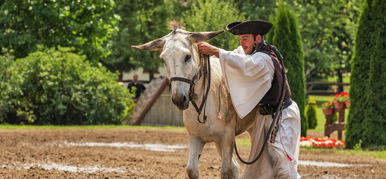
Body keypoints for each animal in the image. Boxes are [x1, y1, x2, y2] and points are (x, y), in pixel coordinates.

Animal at [133, 28, 262, 178]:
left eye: (187, 57)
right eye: (163, 59)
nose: (178, 99)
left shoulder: (227, 138)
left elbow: (226, 170)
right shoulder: (196, 137)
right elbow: (192, 169)